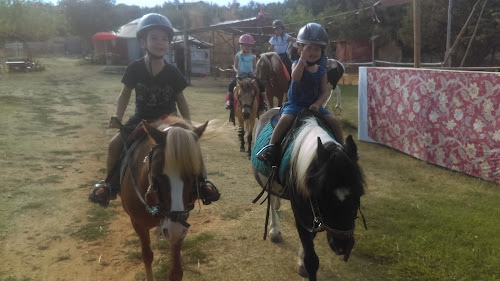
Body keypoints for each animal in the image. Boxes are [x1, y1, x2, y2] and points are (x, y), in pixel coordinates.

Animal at [119, 114, 207, 280]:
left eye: (195, 177)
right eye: (155, 177)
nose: (174, 230)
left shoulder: (180, 229)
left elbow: (176, 271)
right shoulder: (138, 224)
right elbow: (147, 256)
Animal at [252, 108, 366, 278]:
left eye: (359, 192)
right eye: (322, 196)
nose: (341, 246)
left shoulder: (315, 212)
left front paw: (301, 261)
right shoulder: (302, 209)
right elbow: (312, 259)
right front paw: (305, 264)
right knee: (271, 199)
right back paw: (274, 231)